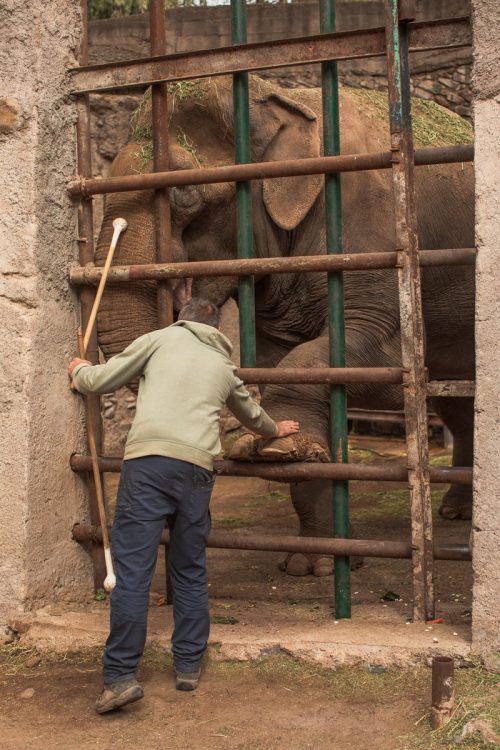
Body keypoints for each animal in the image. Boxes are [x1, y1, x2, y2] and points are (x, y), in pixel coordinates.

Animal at [94, 76, 476, 580]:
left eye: (184, 194)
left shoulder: (373, 232)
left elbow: (379, 367)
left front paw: (278, 447)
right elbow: (281, 363)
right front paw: (314, 564)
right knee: (457, 401)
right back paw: (456, 511)